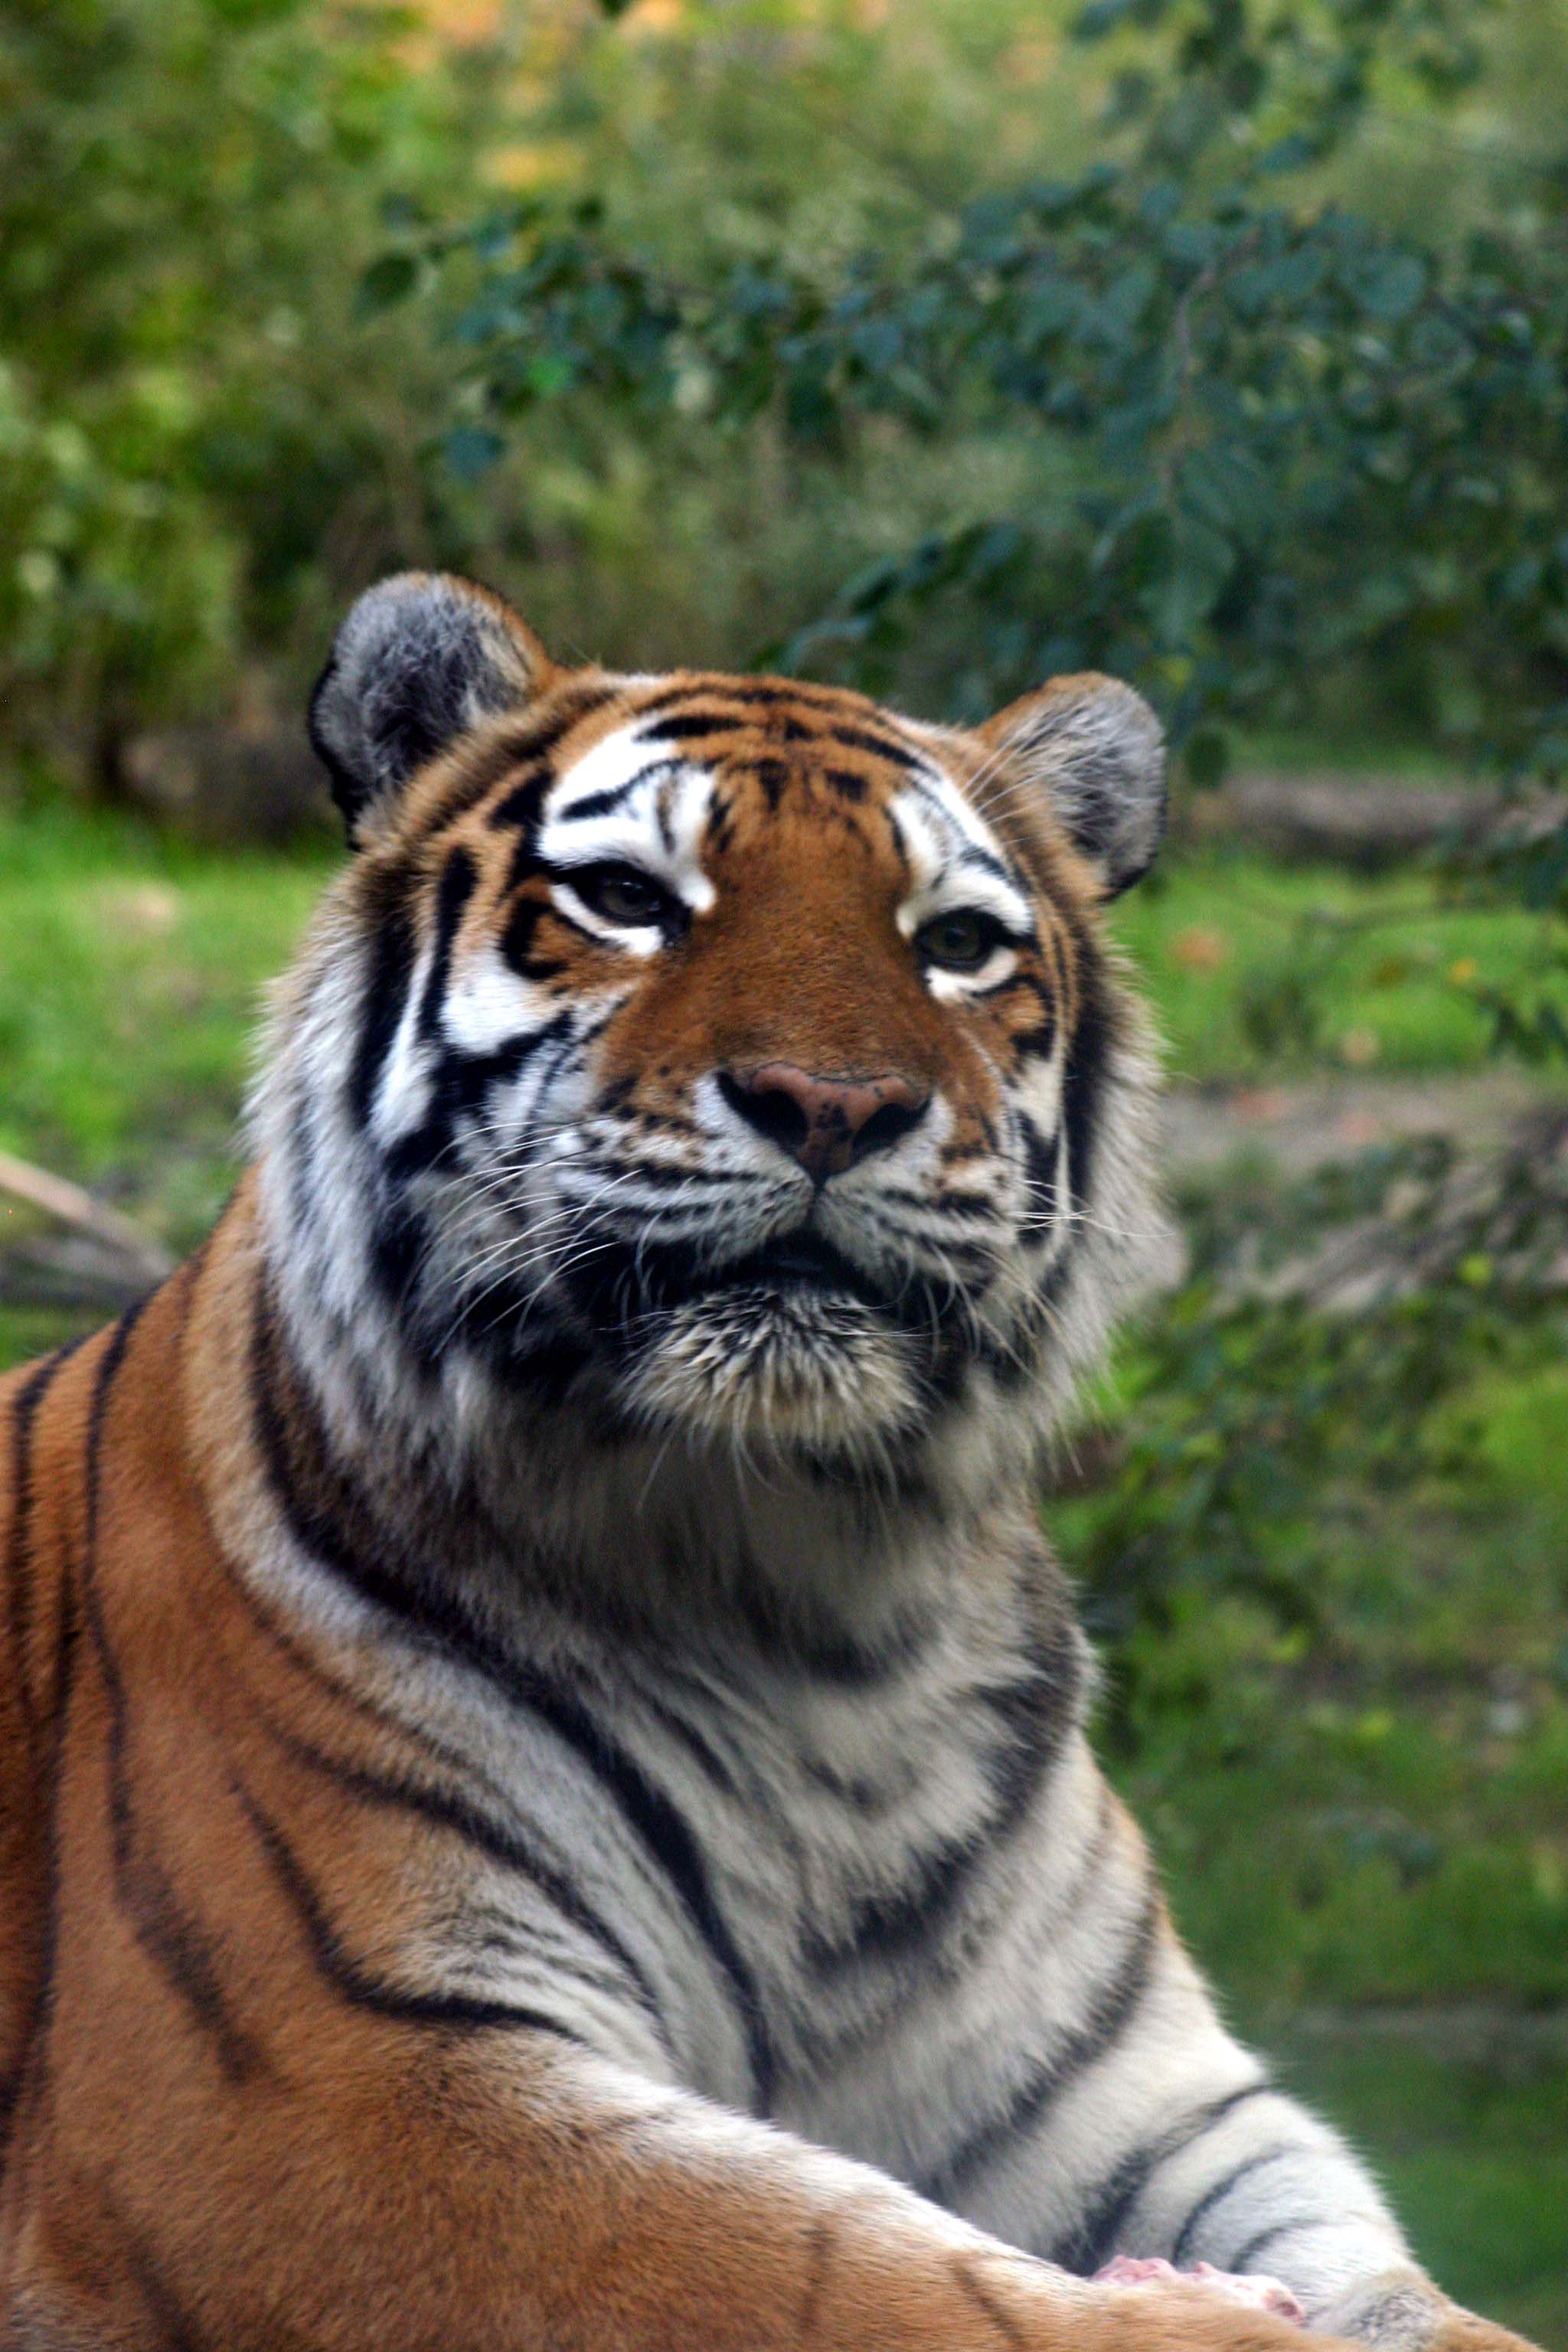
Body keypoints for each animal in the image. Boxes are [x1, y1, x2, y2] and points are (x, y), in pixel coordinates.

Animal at [0, 571, 1542, 2352]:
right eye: (624, 899)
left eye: (955, 943)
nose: (832, 1102)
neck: (806, 1602)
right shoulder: (341, 2082)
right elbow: (858, 2275)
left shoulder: (1140, 2101)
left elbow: (1392, 2288)